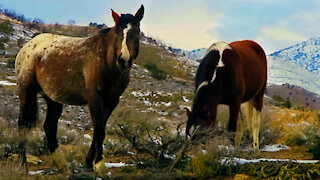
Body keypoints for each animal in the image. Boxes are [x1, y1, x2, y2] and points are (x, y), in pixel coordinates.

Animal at [15, 5, 145, 169]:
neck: (106, 61)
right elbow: (99, 130)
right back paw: (22, 162)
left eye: (137, 32)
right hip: (27, 92)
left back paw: (62, 164)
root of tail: (28, 46)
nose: (124, 60)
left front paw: (89, 162)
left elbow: (100, 129)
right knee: (22, 124)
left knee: (49, 127)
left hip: (53, 99)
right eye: (117, 34)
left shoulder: (112, 101)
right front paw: (99, 165)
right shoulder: (95, 98)